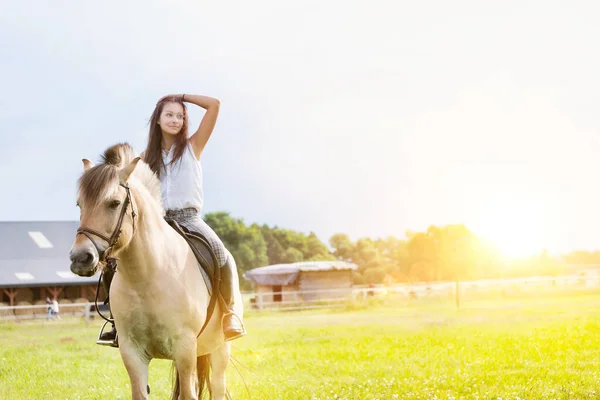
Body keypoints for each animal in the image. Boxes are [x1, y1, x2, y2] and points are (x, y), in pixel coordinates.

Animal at [68, 145, 241, 400]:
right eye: (80, 205)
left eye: (114, 203)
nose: (80, 258)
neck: (146, 277)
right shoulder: (132, 353)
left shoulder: (185, 348)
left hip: (219, 350)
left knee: (217, 386)